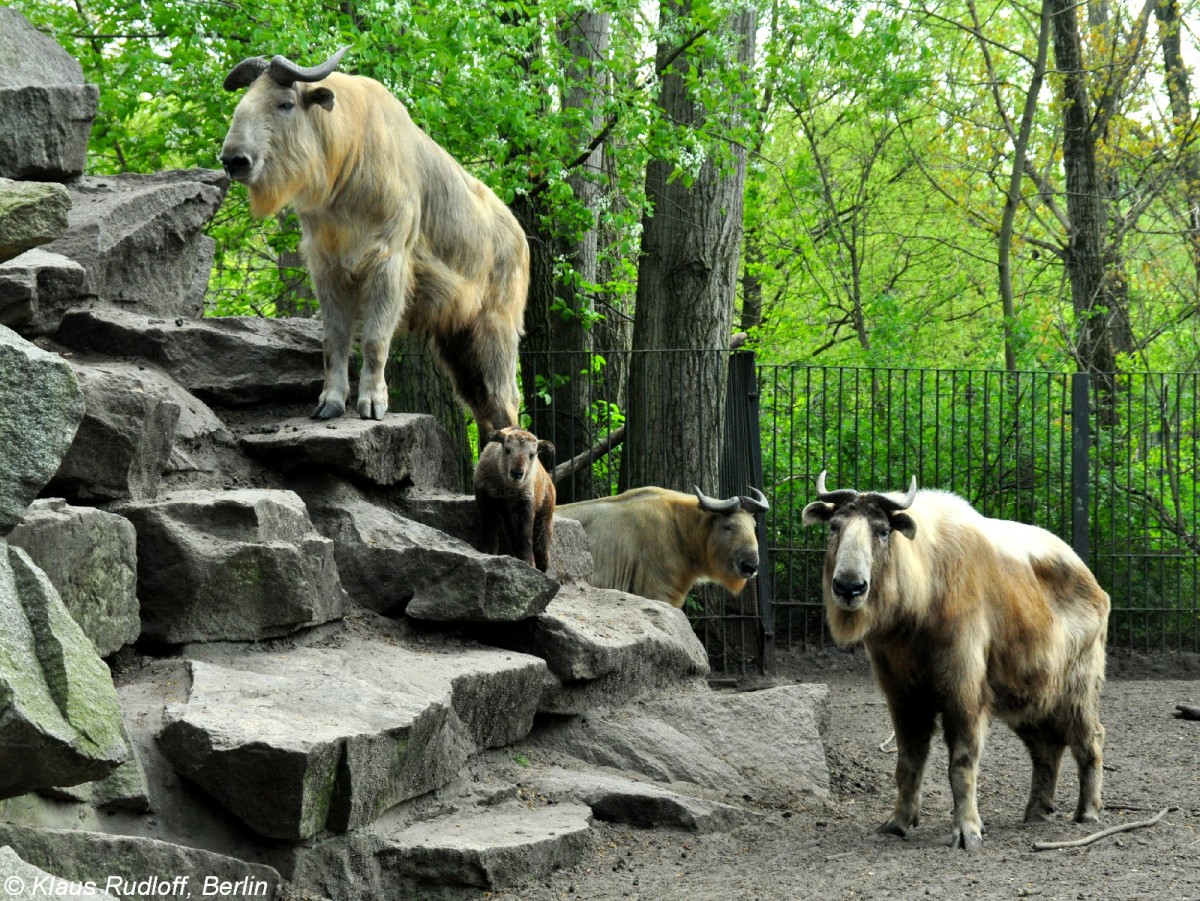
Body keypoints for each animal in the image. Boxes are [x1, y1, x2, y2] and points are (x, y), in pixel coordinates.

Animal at [222, 49, 530, 436]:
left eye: (285, 103)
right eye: (245, 100)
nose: (233, 160)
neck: (347, 163)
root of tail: (520, 238)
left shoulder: (387, 263)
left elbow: (374, 338)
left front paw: (372, 403)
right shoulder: (327, 268)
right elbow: (334, 339)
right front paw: (330, 402)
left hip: (496, 327)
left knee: (505, 401)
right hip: (458, 337)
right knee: (480, 401)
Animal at [475, 427, 554, 571]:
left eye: (532, 454)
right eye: (507, 449)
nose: (517, 473)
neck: (506, 488)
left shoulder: (525, 504)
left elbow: (525, 535)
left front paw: (528, 562)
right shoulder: (484, 498)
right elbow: (489, 527)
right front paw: (487, 550)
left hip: (544, 519)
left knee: (541, 548)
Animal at [801, 472, 1108, 854]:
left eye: (882, 530)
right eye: (835, 527)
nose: (848, 587)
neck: (923, 596)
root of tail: (1091, 580)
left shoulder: (963, 692)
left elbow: (961, 764)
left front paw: (967, 831)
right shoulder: (903, 696)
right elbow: (908, 762)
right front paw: (898, 823)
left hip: (1077, 691)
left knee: (1090, 739)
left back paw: (1087, 812)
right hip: (1028, 701)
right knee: (1046, 749)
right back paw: (1036, 812)